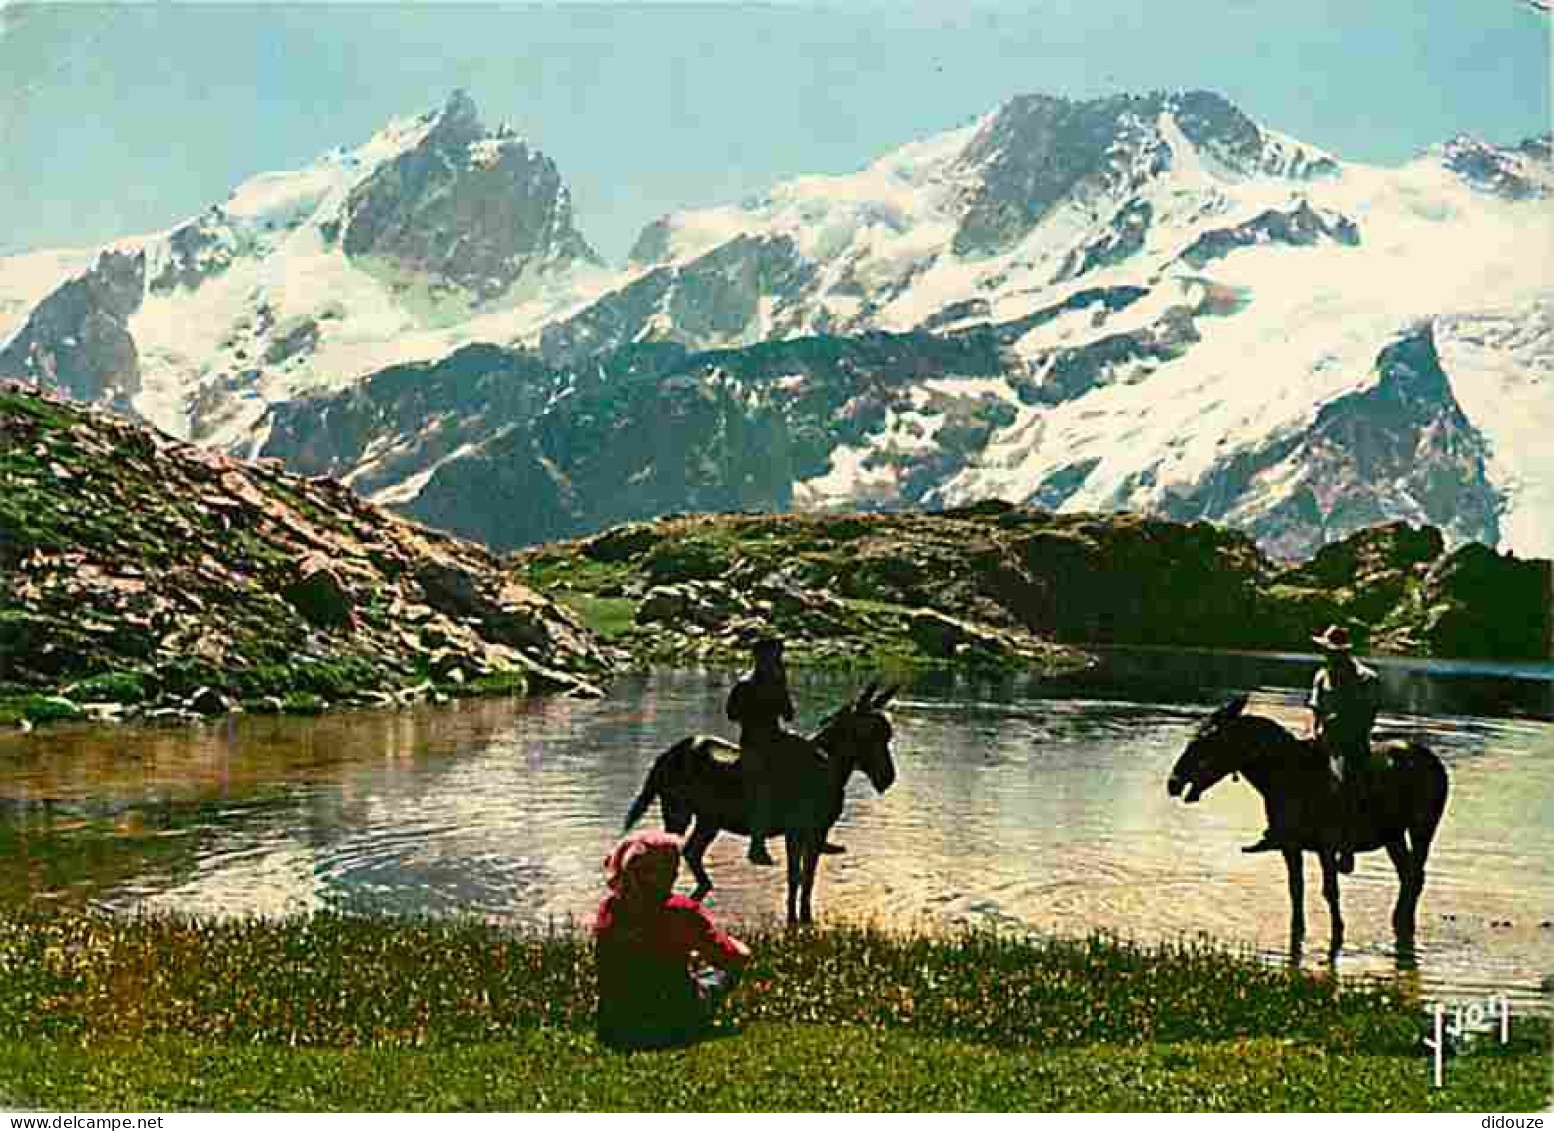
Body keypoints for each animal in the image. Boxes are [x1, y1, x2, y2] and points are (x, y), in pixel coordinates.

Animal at [624, 683, 901, 925]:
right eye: (866, 733)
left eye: (886, 734)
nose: (887, 778)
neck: (828, 768)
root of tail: (665, 756)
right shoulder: (795, 833)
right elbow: (795, 876)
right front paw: (793, 920)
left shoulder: (817, 833)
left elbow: (808, 878)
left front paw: (806, 918)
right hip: (678, 813)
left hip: (709, 820)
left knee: (692, 851)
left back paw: (705, 886)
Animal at [1168, 692, 1448, 957]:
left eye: (1205, 741)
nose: (1173, 782)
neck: (1286, 777)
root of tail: (1435, 763)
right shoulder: (1290, 847)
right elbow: (1296, 891)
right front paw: (1299, 933)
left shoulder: (1327, 847)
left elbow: (1330, 891)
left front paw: (1338, 932)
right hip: (1394, 836)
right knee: (1408, 876)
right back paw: (1400, 924)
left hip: (1422, 830)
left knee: (1415, 875)